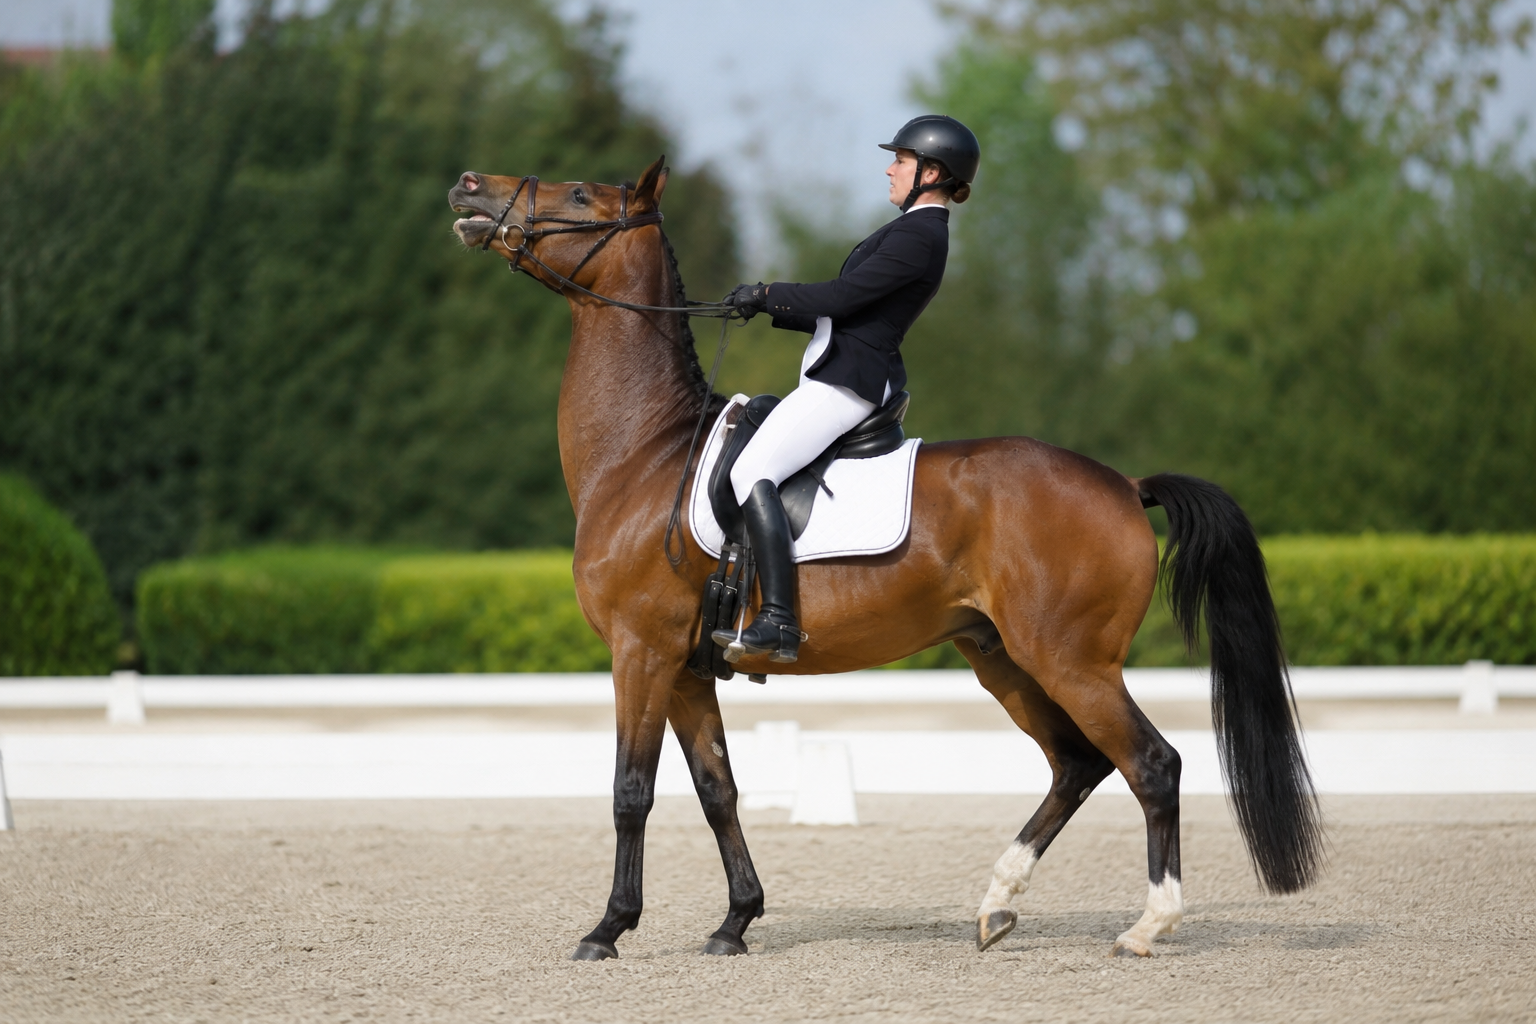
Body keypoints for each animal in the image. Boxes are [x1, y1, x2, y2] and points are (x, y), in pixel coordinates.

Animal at [447, 157, 1323, 961]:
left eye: (580, 195)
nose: (467, 187)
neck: (645, 452)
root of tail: (1123, 484)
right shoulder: (690, 667)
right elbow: (718, 789)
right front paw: (735, 922)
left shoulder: (641, 650)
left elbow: (631, 791)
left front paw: (608, 930)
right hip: (1002, 657)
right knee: (1076, 765)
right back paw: (995, 907)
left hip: (1071, 659)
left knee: (1151, 763)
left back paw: (1146, 926)